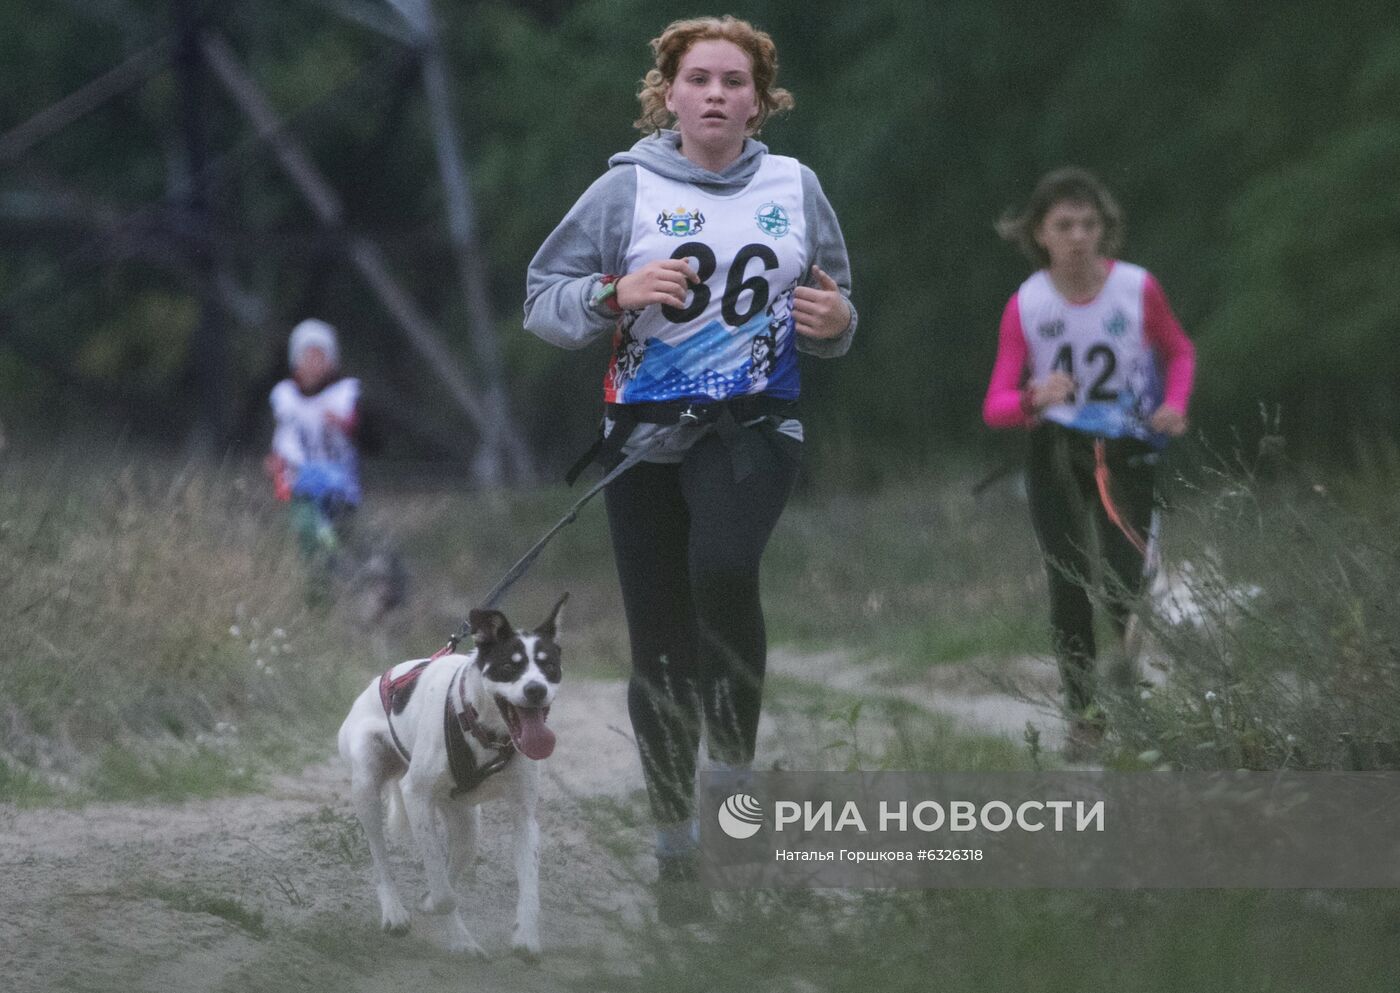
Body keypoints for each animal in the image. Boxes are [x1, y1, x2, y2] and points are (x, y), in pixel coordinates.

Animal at [336, 593, 565, 957]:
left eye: (549, 667)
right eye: (509, 666)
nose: (536, 690)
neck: (484, 731)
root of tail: (378, 681)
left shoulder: (524, 816)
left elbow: (528, 885)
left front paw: (526, 936)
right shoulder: (416, 797)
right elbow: (444, 893)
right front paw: (439, 909)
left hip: (466, 821)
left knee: (457, 859)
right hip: (367, 789)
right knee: (381, 859)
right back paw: (397, 912)